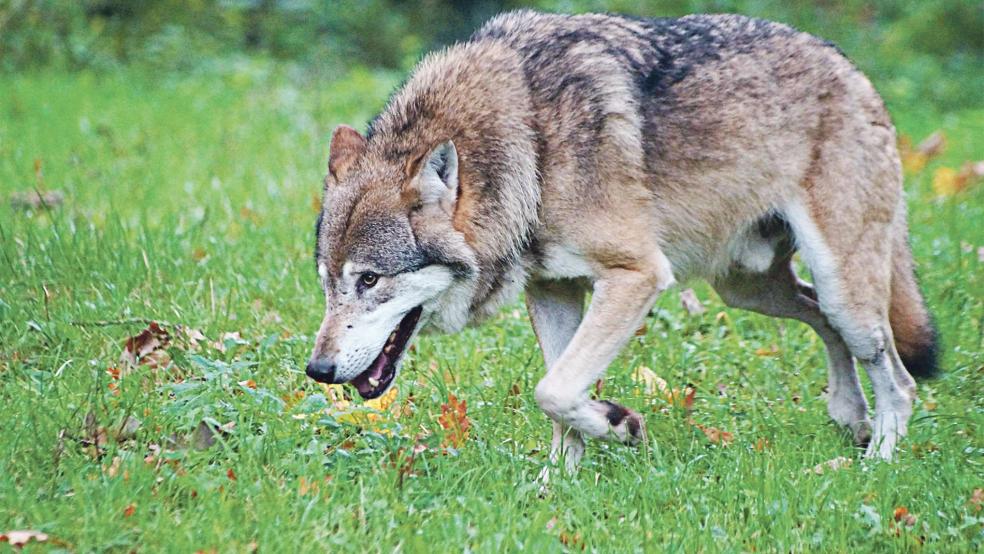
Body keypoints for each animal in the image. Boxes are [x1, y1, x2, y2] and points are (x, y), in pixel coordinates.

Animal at [307, 10, 938, 467]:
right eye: (327, 284)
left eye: (370, 279)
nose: (317, 371)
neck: (531, 149)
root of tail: (852, 70)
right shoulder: (553, 290)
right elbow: (557, 396)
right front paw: (555, 485)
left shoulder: (637, 275)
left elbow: (554, 390)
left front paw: (619, 425)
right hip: (749, 289)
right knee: (823, 321)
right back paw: (850, 417)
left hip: (840, 287)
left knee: (900, 380)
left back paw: (877, 464)